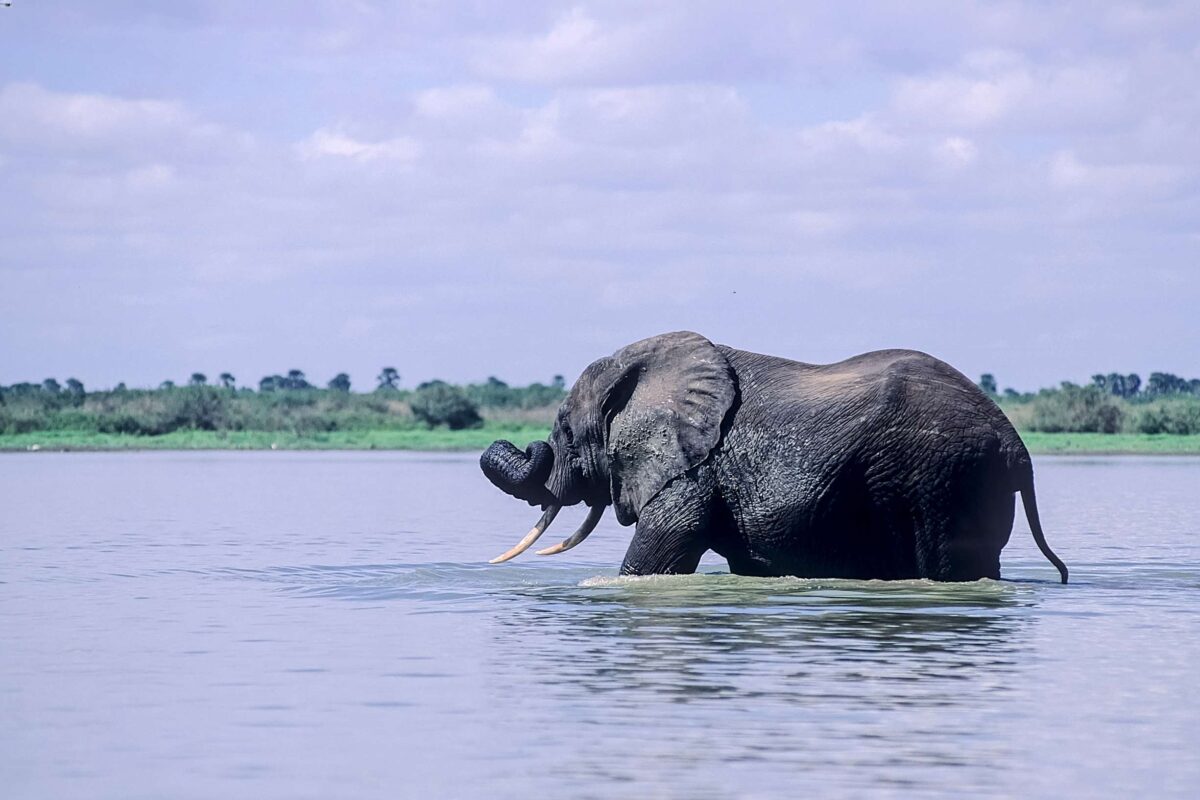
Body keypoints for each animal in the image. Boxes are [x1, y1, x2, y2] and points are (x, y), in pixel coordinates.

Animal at [480, 331, 1068, 583]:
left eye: (564, 429)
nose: (526, 445)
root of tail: (1015, 444)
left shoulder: (694, 473)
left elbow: (657, 558)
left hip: (942, 480)